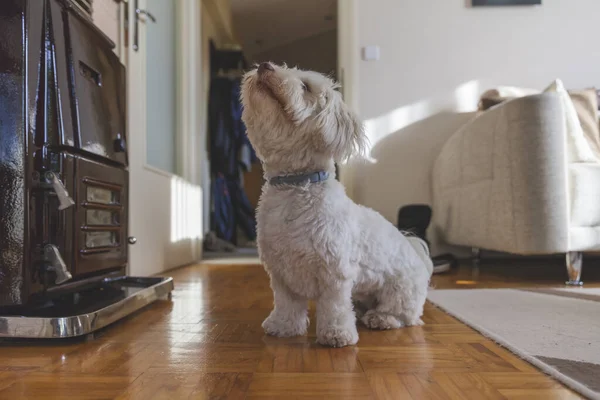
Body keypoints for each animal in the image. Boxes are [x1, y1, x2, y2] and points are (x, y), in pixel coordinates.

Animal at [239, 62, 432, 346]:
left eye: (305, 86)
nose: (265, 66)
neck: (296, 185)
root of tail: (415, 250)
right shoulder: (281, 273)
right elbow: (287, 304)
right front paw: (283, 327)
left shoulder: (335, 272)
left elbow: (335, 307)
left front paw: (336, 334)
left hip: (400, 290)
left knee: (404, 315)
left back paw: (381, 319)